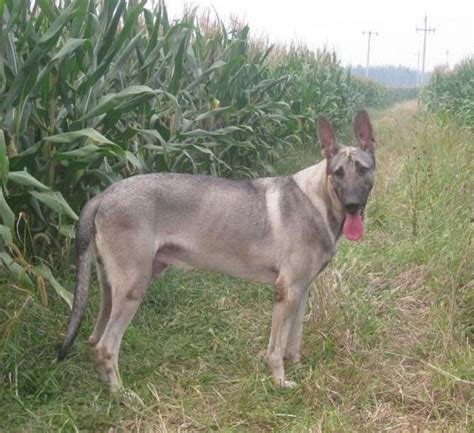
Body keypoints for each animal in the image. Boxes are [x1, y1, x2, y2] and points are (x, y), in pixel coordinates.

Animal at [57, 109, 376, 390]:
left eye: (363, 170)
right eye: (337, 173)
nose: (352, 205)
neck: (319, 200)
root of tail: (104, 194)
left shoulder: (302, 289)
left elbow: (293, 340)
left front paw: (297, 368)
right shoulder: (286, 291)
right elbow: (275, 349)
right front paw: (280, 382)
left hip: (111, 289)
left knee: (93, 340)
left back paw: (106, 388)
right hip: (132, 289)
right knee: (106, 346)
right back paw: (122, 395)